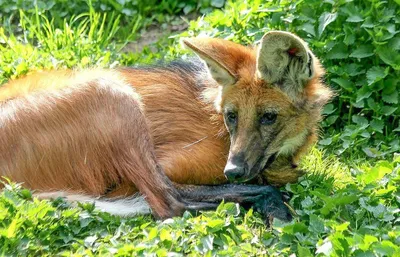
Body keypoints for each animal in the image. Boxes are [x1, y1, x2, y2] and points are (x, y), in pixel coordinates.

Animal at [0, 31, 332, 221]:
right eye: (232, 116)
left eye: (268, 117)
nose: (233, 170)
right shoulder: (169, 165)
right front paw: (274, 206)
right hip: (113, 94)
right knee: (168, 205)